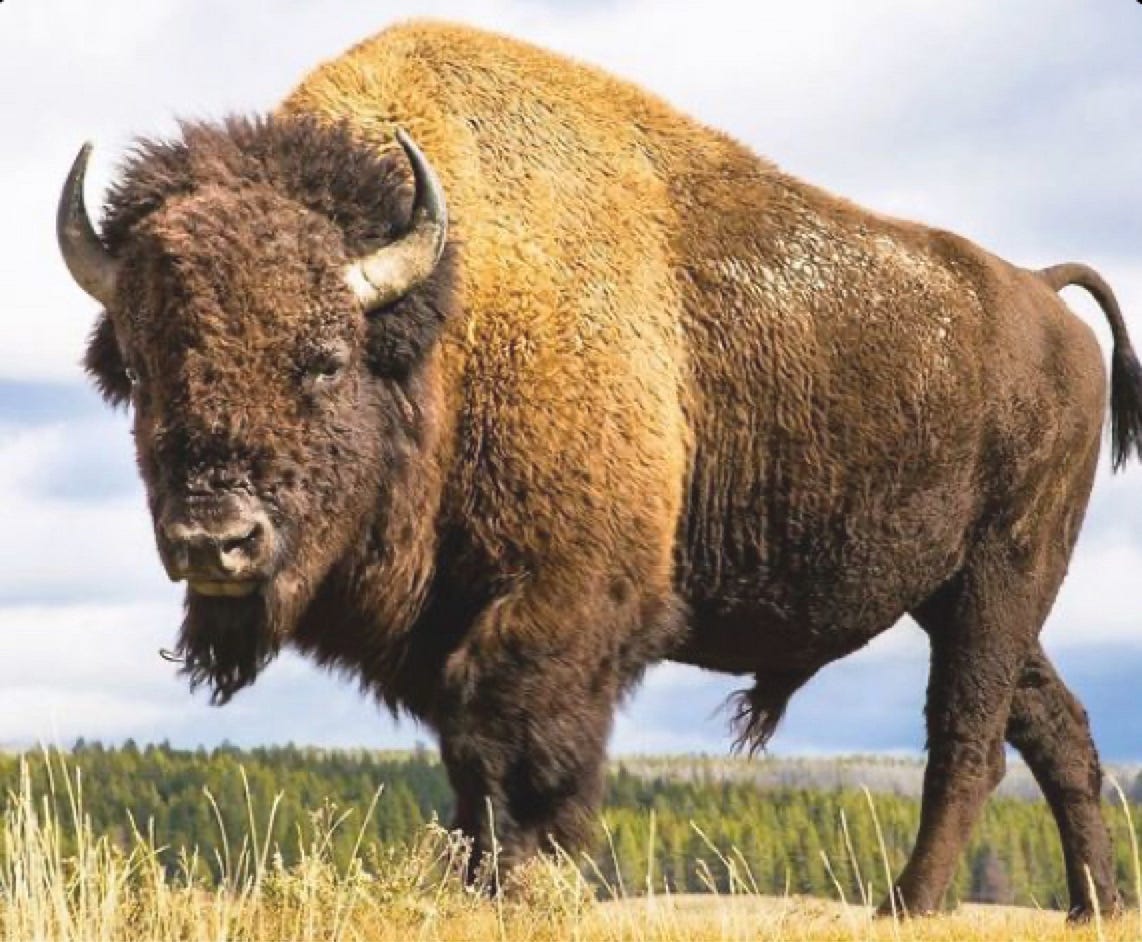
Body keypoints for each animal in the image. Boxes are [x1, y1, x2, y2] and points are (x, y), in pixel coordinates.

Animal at [58, 21, 1138, 918]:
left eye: (322, 359)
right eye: (141, 369)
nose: (215, 540)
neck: (456, 304)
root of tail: (1039, 294)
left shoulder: (559, 609)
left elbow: (516, 755)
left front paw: (518, 890)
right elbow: (470, 768)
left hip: (1001, 577)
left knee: (967, 739)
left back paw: (908, 908)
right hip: (961, 594)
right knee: (1054, 728)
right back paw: (1090, 907)